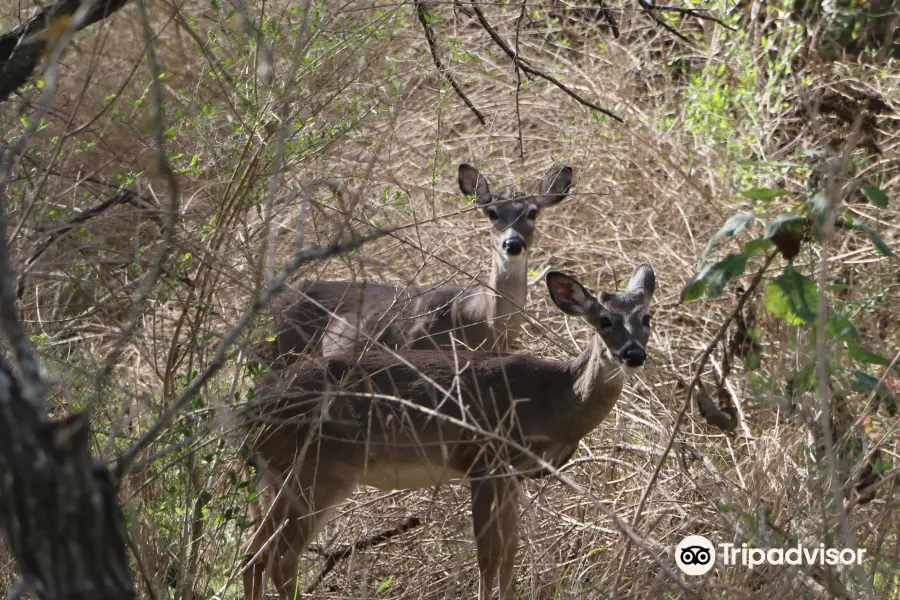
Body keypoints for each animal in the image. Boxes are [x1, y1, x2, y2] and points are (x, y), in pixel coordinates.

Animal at [239, 262, 652, 600]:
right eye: (604, 320)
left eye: (647, 317)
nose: (634, 354)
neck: (554, 400)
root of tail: (251, 412)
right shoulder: (485, 460)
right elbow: (490, 553)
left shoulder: (511, 474)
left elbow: (510, 551)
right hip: (321, 470)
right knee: (280, 557)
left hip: (281, 474)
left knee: (253, 554)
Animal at [260, 162, 572, 364]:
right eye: (492, 212)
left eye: (532, 212)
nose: (513, 243)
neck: (482, 319)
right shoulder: (418, 345)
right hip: (276, 353)